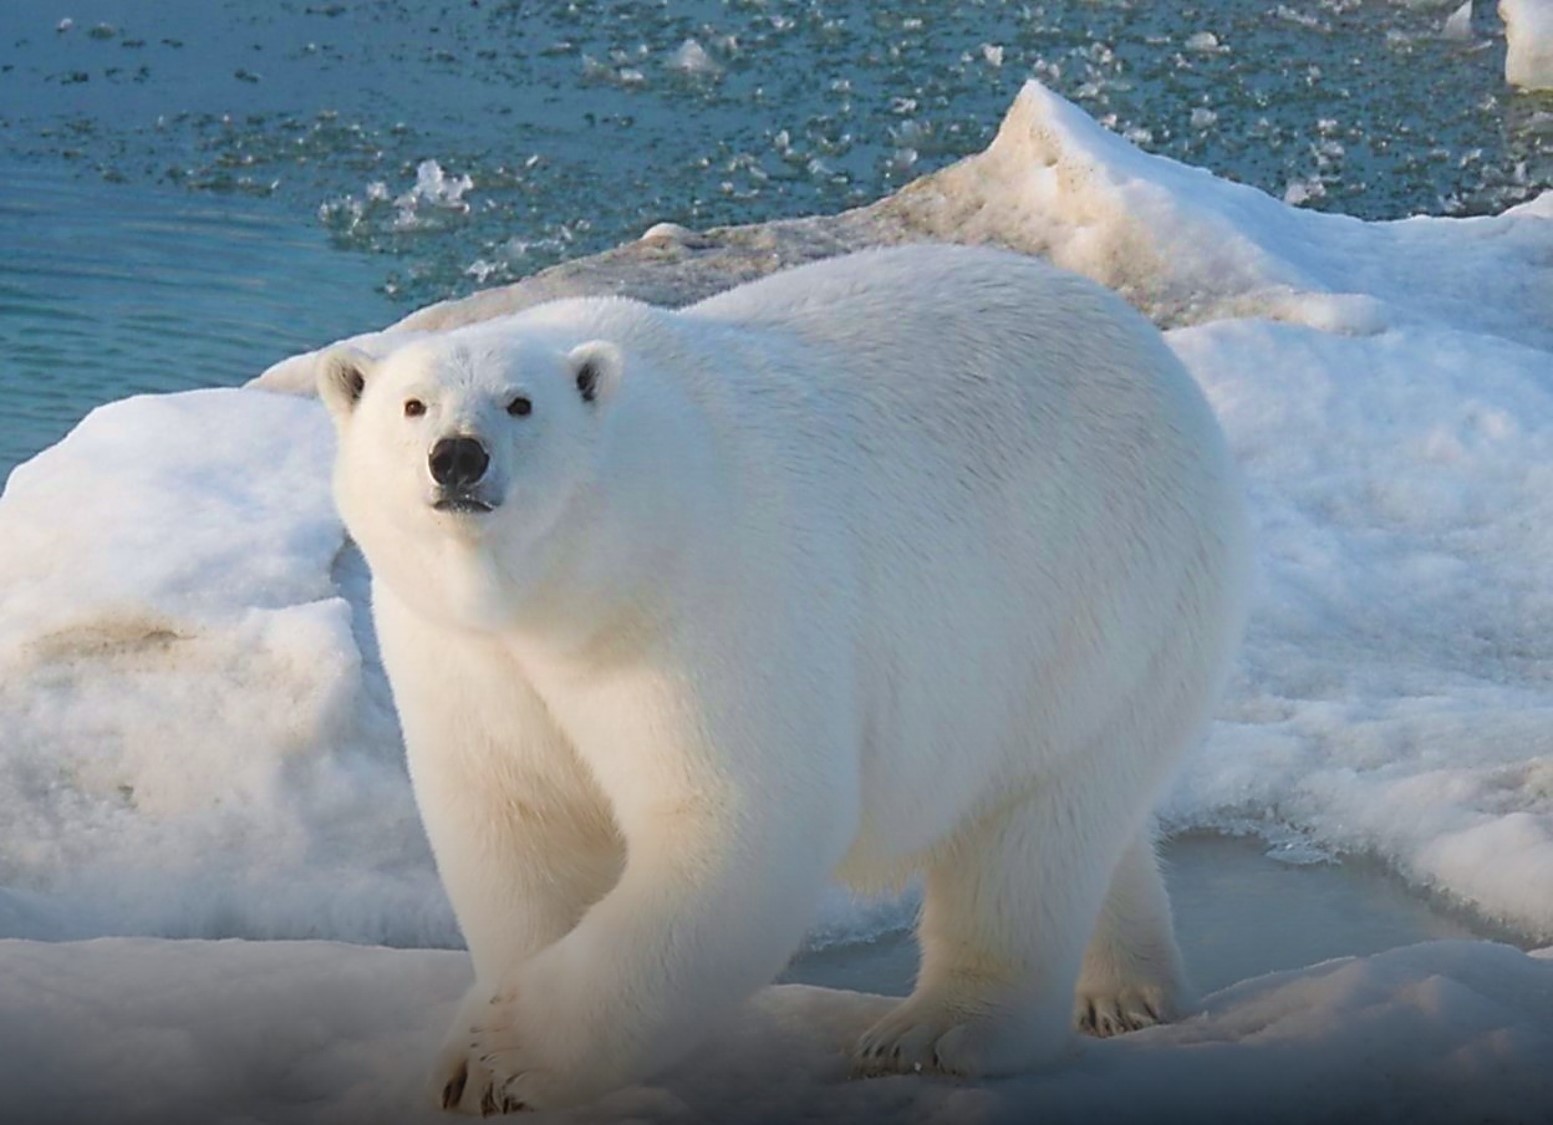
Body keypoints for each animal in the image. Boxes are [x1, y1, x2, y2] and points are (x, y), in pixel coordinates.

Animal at [315, 242, 1248, 1112]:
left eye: (520, 402)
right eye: (411, 403)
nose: (457, 457)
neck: (571, 586)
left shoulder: (700, 599)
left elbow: (735, 818)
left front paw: (501, 1052)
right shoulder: (464, 656)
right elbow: (519, 823)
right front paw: (474, 1067)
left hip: (1098, 603)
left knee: (1031, 830)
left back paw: (935, 1031)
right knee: (1093, 815)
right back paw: (1127, 990)